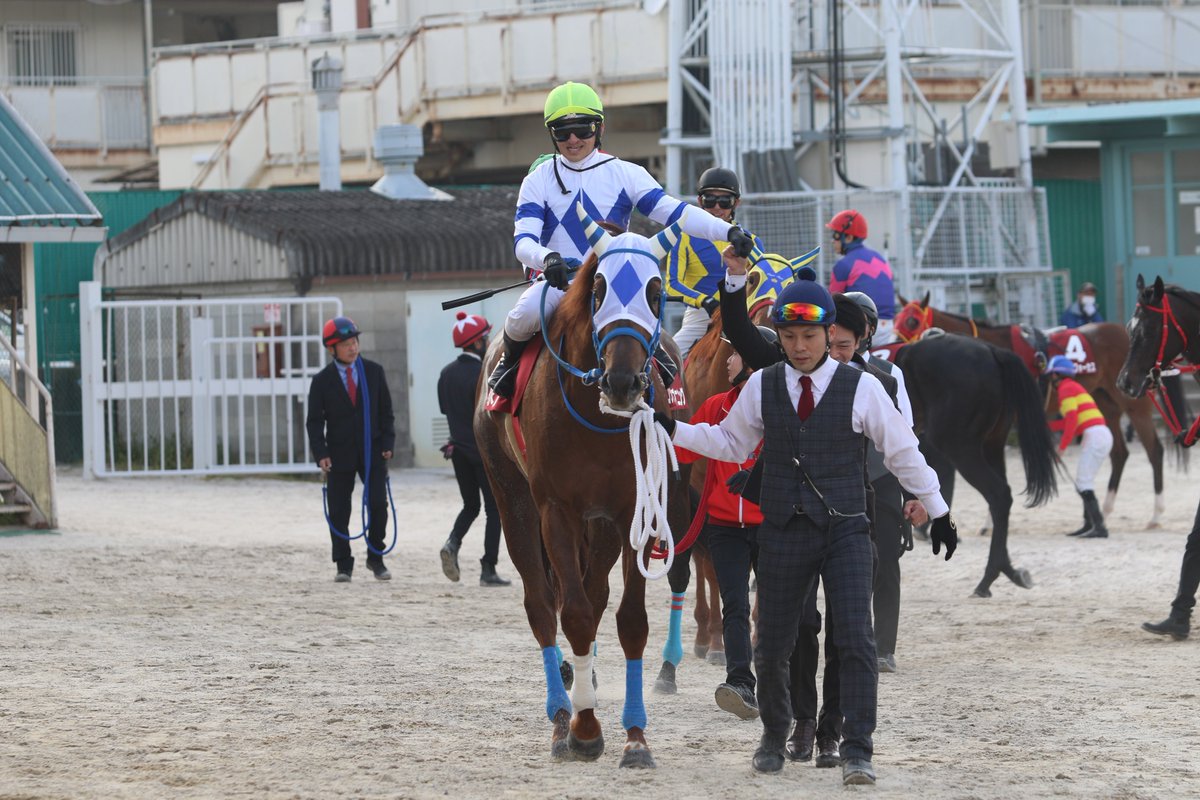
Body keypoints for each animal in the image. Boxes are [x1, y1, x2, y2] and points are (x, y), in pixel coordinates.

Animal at [474, 205, 692, 768]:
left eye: (654, 292)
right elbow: (569, 612)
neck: (597, 418)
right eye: (597, 290)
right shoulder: (557, 510)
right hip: (512, 498)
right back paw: (559, 713)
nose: (623, 383)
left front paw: (635, 736)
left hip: (605, 527)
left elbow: (628, 620)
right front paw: (584, 729)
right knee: (540, 604)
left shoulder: (632, 510)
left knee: (595, 599)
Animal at [893, 295, 1167, 528]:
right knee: (1119, 453)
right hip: (1105, 403)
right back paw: (1107, 509)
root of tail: (1125, 331)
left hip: (1134, 403)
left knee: (1154, 450)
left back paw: (1156, 514)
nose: (895, 348)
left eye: (912, 320)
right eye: (896, 319)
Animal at [893, 333, 1060, 598]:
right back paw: (1006, 570)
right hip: (992, 446)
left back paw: (988, 577)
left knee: (999, 494)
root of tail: (991, 351)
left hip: (961, 448)